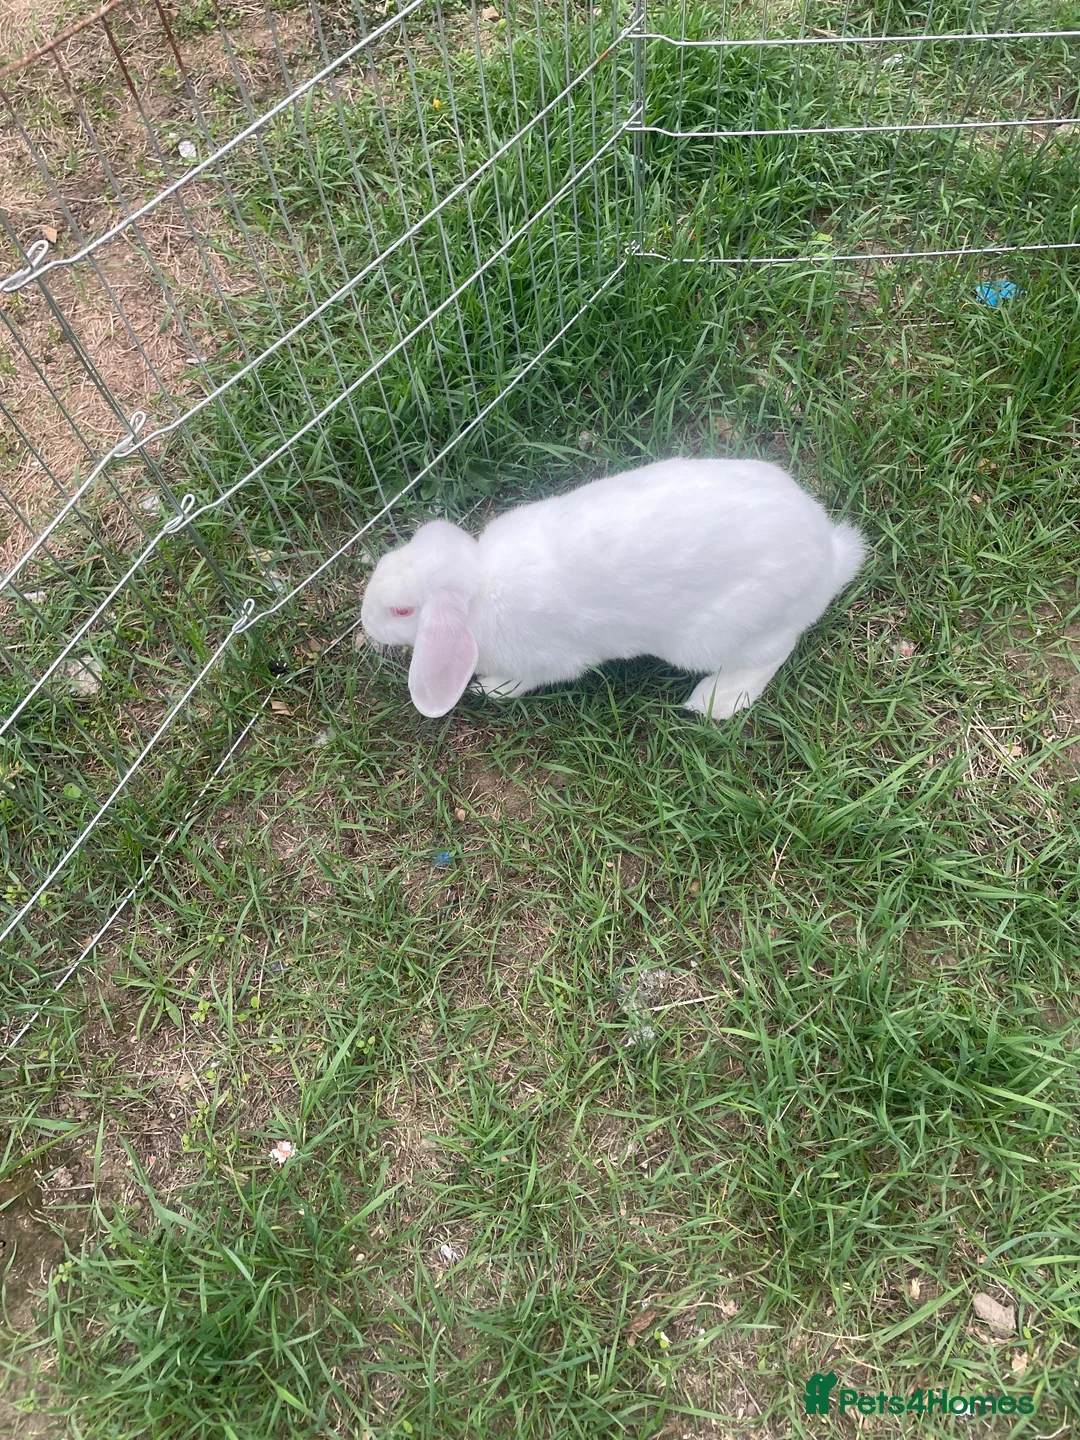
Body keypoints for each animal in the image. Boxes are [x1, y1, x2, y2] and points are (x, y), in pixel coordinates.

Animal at [360, 456, 866, 721]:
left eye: (402, 612)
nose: (365, 624)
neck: (480, 590)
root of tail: (828, 556)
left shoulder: (545, 662)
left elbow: (525, 681)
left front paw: (490, 690)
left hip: (719, 636)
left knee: (775, 653)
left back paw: (715, 700)